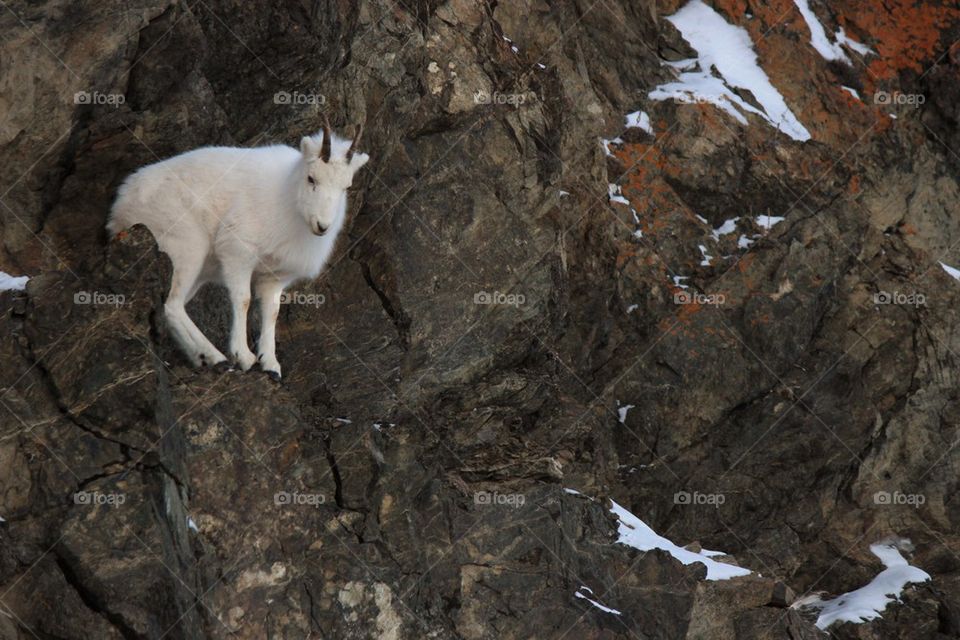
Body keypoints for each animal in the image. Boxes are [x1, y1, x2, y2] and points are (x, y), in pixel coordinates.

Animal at [107, 119, 369, 379]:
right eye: (311, 178)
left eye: (346, 187)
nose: (322, 226)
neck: (287, 200)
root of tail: (124, 201)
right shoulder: (238, 256)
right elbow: (243, 300)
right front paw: (243, 356)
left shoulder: (274, 278)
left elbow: (271, 312)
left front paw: (271, 365)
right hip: (185, 249)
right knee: (172, 305)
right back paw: (216, 357)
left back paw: (201, 357)